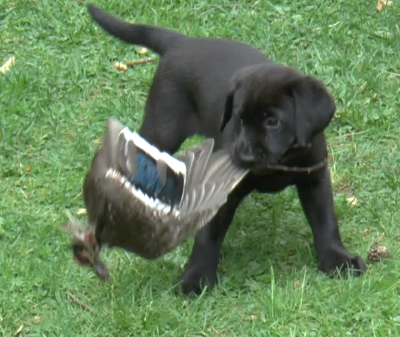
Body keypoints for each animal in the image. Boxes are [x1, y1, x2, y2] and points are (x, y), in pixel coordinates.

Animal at [86, 4, 366, 294]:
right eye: (239, 118)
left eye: (273, 121)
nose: (243, 156)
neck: (280, 162)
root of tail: (182, 41)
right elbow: (208, 234)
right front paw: (196, 277)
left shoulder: (315, 176)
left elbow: (325, 221)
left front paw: (338, 260)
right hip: (161, 128)